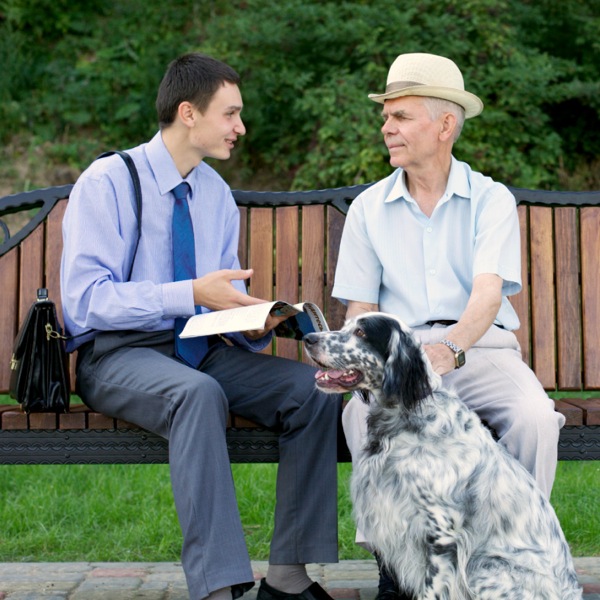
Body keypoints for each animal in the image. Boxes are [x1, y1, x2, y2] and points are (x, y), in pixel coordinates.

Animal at [304, 314, 580, 600]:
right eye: (345, 326)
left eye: (360, 332)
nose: (308, 338)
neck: (408, 416)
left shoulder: (440, 533)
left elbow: (432, 590)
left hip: (483, 568)